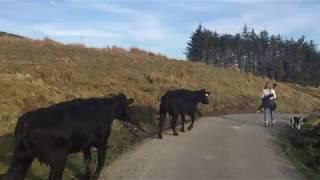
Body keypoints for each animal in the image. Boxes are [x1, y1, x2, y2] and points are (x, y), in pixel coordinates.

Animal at [0, 93, 135, 179]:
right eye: (126, 106)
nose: (131, 118)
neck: (105, 109)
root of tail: (26, 121)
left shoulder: (85, 144)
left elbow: (88, 160)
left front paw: (87, 176)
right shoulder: (102, 141)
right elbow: (101, 160)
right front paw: (95, 176)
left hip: (22, 157)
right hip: (58, 157)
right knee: (54, 177)